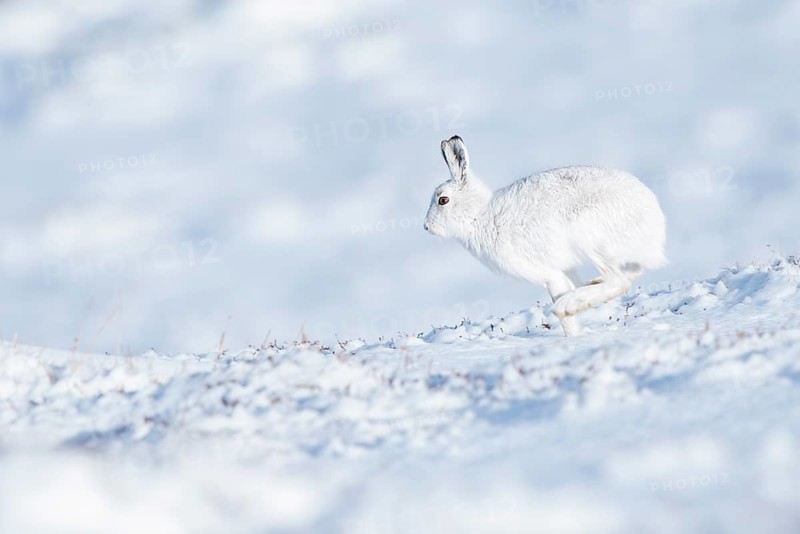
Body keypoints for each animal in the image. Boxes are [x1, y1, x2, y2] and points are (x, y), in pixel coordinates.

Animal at [424, 135, 667, 336]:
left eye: (443, 200)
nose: (426, 227)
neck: (478, 215)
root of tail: (656, 225)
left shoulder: (550, 273)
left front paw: (572, 335)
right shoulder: (567, 268)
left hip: (588, 237)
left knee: (619, 281)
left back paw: (567, 305)